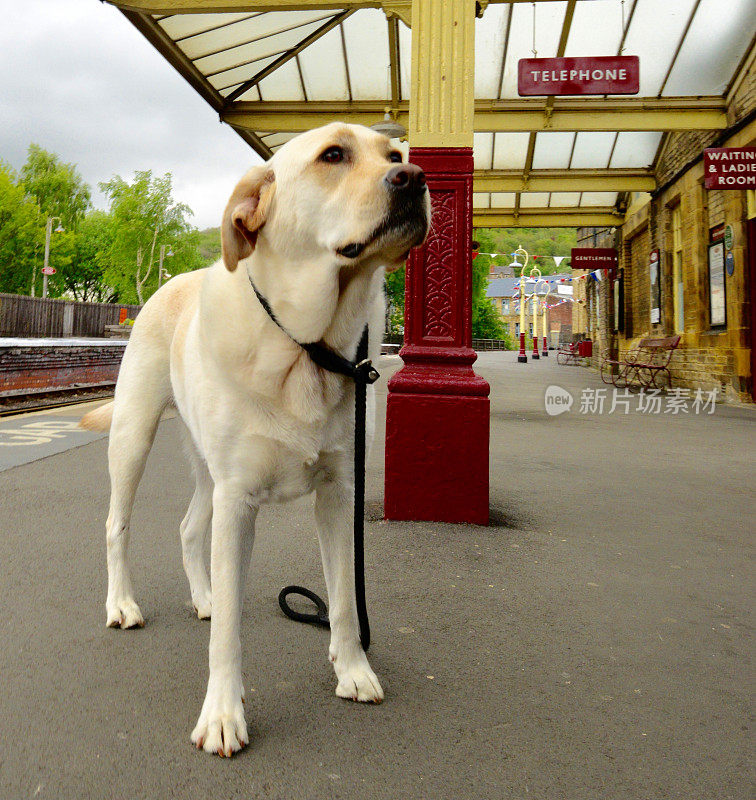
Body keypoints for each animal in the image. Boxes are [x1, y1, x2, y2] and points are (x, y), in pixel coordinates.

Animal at [81, 123, 432, 756]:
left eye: (394, 154)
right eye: (333, 155)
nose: (414, 178)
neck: (306, 346)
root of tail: (172, 281)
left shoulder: (338, 493)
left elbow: (345, 599)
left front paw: (353, 670)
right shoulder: (238, 499)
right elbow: (229, 635)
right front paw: (223, 714)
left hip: (207, 468)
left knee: (188, 527)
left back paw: (204, 597)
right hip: (134, 436)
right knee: (117, 524)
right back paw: (122, 603)